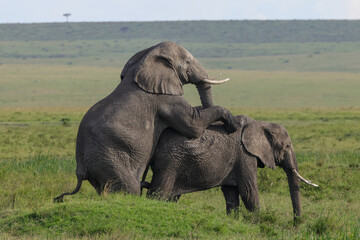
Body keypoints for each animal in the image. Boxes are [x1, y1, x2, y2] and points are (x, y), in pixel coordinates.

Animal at [54, 41, 239, 202]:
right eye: (187, 62)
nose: (226, 129)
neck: (146, 57)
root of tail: (80, 170)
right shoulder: (165, 98)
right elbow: (194, 125)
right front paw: (233, 124)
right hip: (107, 159)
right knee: (130, 188)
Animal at [143, 115, 318, 220]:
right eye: (287, 146)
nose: (296, 223)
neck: (260, 123)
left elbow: (231, 193)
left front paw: (234, 219)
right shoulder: (245, 155)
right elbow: (248, 190)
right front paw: (259, 221)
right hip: (170, 161)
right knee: (159, 192)